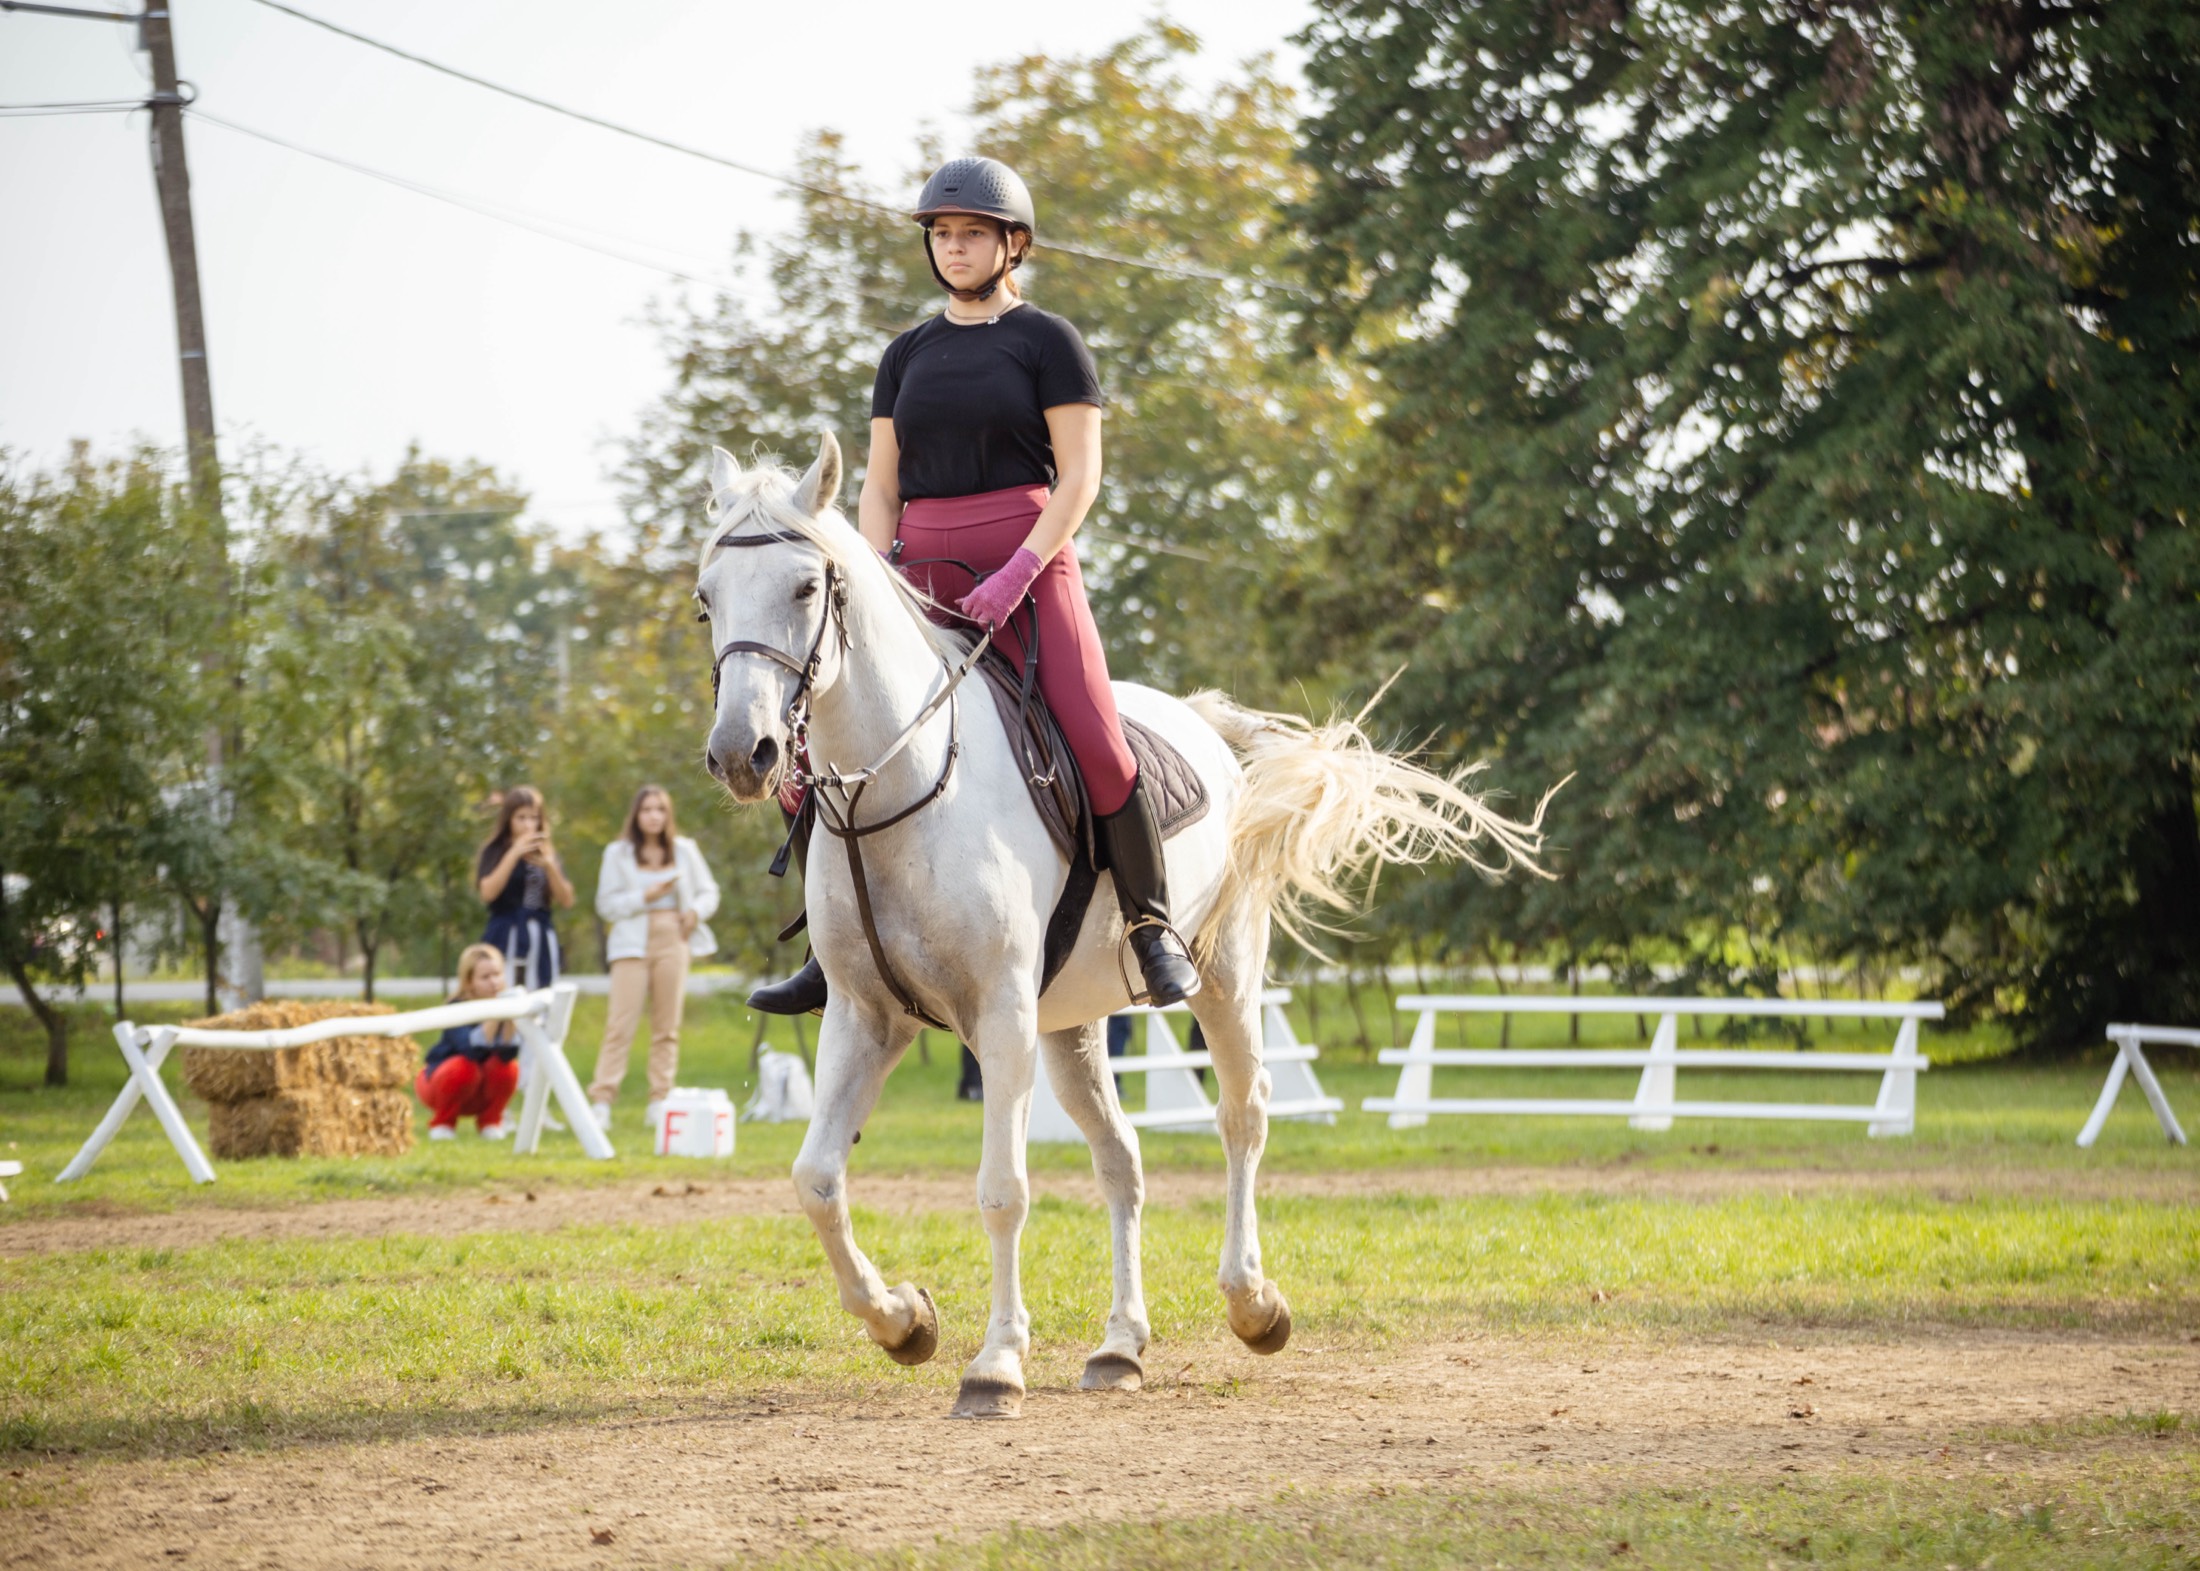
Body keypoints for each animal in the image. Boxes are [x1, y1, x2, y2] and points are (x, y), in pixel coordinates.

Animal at [697, 435, 1549, 1419]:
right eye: (705, 597)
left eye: (806, 587)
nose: (742, 753)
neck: (899, 789)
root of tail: (1202, 719)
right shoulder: (864, 1017)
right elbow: (817, 1179)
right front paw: (903, 1320)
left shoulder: (1000, 1017)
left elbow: (1002, 1189)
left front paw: (995, 1363)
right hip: (1070, 1026)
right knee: (1122, 1159)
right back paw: (1120, 1345)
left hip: (1224, 977)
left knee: (1241, 1115)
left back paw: (1252, 1302)